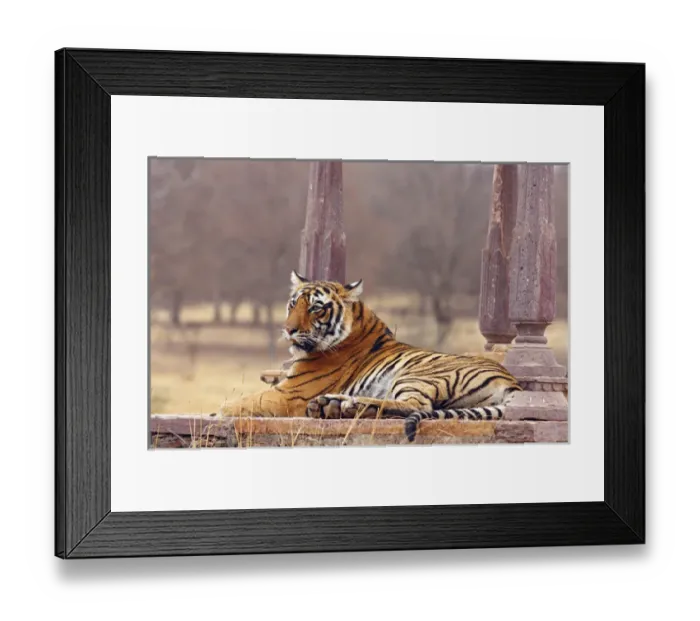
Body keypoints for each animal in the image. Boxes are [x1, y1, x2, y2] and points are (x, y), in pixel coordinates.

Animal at [218, 270, 522, 442]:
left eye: (316, 308)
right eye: (293, 304)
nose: (288, 329)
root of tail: (512, 382)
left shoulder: (291, 393)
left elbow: (238, 403)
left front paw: (218, 412)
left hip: (415, 375)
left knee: (414, 405)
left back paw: (341, 404)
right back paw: (335, 406)